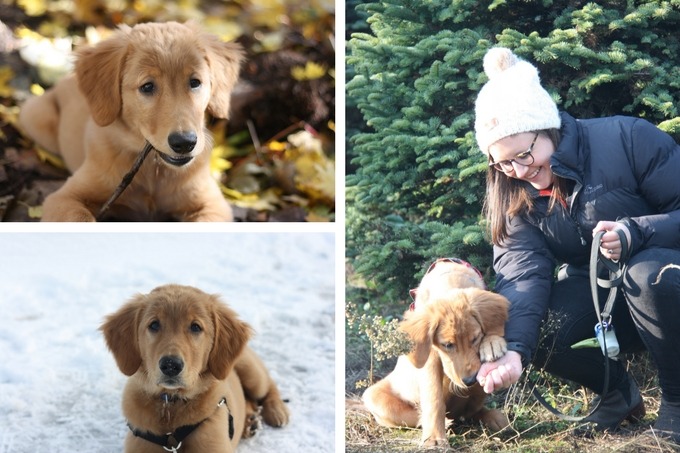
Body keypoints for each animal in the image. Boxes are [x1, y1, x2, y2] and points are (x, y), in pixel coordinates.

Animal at [19, 22, 243, 221]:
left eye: (195, 82)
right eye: (147, 87)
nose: (184, 143)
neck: (153, 169)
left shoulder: (213, 205)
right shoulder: (62, 199)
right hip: (35, 116)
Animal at [101, 284, 290, 450]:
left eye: (195, 327)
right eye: (154, 325)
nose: (171, 365)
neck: (170, 406)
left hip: (252, 372)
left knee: (268, 385)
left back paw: (277, 411)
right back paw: (250, 421)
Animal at [364, 258, 508, 444]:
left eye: (475, 339)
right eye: (447, 345)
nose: (470, 380)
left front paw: (492, 342)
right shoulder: (429, 357)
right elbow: (434, 398)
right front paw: (434, 438)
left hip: (478, 391)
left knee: (471, 413)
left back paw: (493, 417)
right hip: (374, 397)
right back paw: (445, 422)